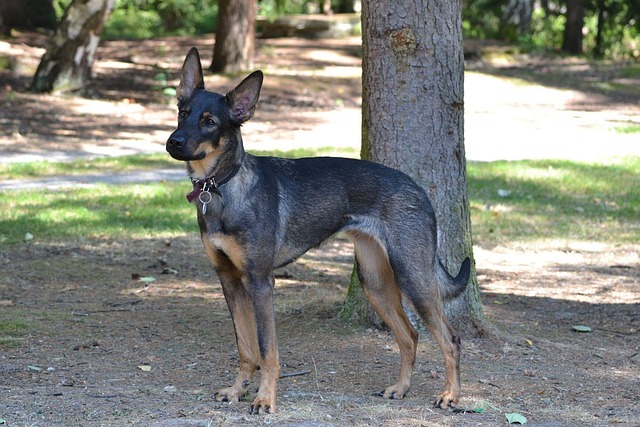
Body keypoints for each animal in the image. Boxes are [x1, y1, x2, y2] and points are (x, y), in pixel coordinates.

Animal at [168, 48, 472, 416]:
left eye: (209, 121)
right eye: (182, 113)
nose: (173, 142)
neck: (223, 186)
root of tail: (420, 190)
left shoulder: (260, 282)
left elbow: (267, 350)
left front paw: (265, 398)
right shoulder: (229, 280)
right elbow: (245, 347)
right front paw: (237, 390)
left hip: (412, 277)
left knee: (450, 339)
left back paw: (451, 395)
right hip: (375, 281)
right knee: (410, 336)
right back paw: (400, 388)